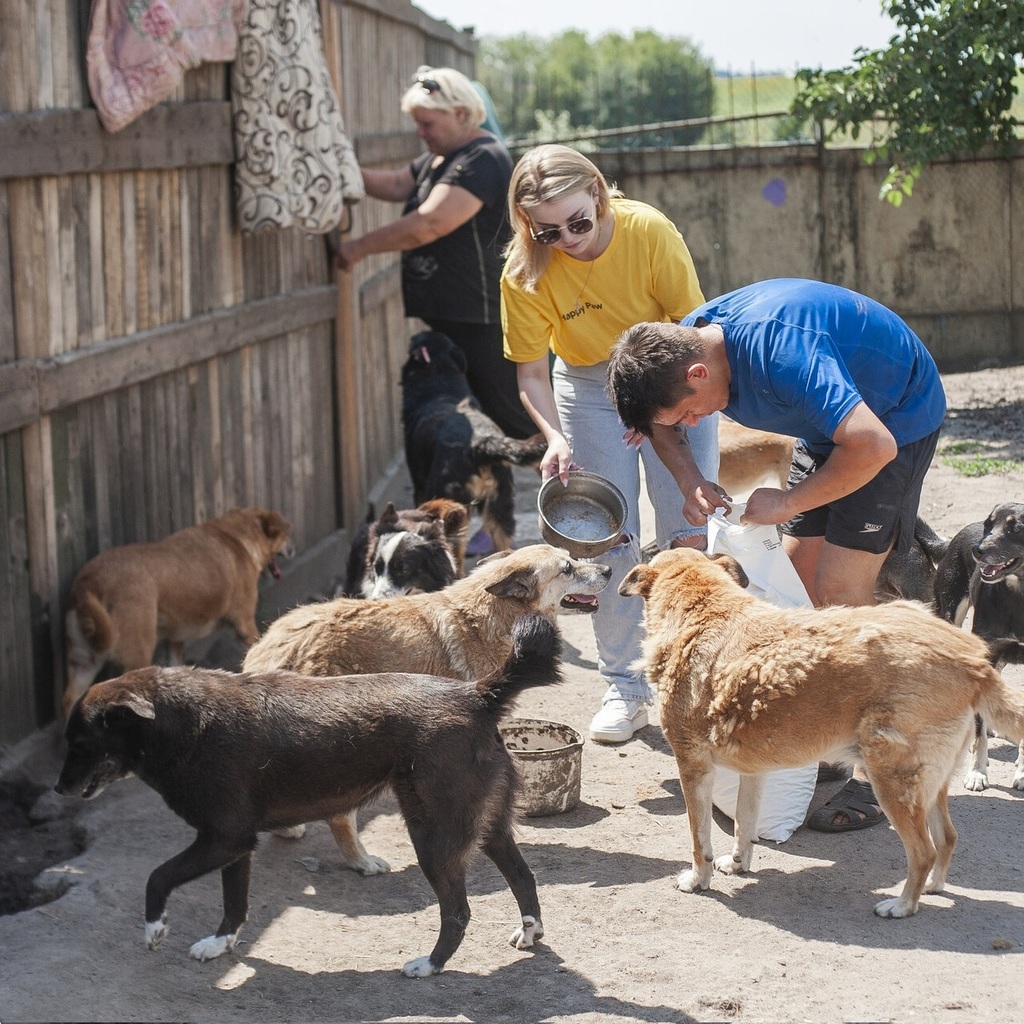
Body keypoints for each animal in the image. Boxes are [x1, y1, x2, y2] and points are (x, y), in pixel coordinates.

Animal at [55, 614, 561, 977]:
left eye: (80, 744)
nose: (58, 788)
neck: (178, 722)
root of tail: (477, 694)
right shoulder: (235, 845)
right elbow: (234, 905)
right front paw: (220, 944)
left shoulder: (222, 839)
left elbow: (157, 877)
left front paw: (155, 929)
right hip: (487, 826)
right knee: (524, 876)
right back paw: (530, 933)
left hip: (434, 837)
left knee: (458, 911)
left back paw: (430, 964)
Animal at [63, 507, 293, 719]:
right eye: (285, 535)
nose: (292, 549)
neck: (235, 537)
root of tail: (88, 584)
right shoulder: (245, 624)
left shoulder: (175, 640)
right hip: (137, 654)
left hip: (85, 663)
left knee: (70, 700)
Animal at [244, 544, 610, 867]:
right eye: (567, 568)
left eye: (572, 559)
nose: (607, 569)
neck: (488, 615)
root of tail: (279, 646)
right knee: (339, 817)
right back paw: (360, 860)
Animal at [619, 547, 1024, 919]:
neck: (702, 609)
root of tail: (971, 660)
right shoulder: (753, 771)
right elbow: (743, 825)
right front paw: (737, 863)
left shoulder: (692, 765)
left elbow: (698, 838)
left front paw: (698, 880)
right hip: (930, 782)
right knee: (947, 838)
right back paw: (933, 888)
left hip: (892, 780)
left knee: (923, 851)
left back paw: (903, 905)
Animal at [934, 501, 1024, 790]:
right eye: (989, 525)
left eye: (1015, 528)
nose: (978, 550)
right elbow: (978, 732)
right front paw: (976, 772)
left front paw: (1022, 772)